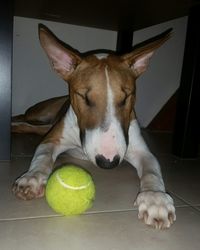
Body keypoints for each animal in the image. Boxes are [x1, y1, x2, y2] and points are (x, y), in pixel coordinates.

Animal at [12, 24, 175, 229]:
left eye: (126, 97)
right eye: (85, 97)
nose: (108, 162)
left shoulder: (141, 150)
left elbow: (152, 170)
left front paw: (156, 199)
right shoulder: (51, 138)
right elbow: (42, 155)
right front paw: (31, 178)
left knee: (29, 126)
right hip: (41, 114)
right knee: (26, 120)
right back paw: (13, 121)